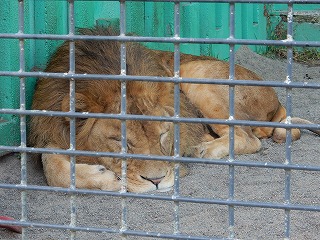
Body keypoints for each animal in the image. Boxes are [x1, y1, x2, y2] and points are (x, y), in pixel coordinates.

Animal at [29, 27, 318, 193]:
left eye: (162, 135)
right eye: (121, 141)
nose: (156, 182)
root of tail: (278, 101)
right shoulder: (48, 129)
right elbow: (51, 166)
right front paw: (104, 177)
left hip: (197, 74)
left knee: (249, 138)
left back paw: (203, 149)